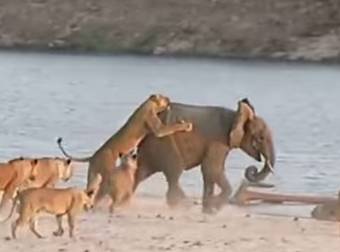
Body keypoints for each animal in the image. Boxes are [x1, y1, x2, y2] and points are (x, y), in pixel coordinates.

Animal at [57, 94, 193, 203]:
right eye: (164, 97)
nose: (169, 98)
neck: (147, 104)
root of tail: (93, 156)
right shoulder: (158, 128)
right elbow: (171, 127)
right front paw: (186, 125)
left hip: (93, 175)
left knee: (89, 189)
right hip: (107, 170)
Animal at [134, 98, 274, 213]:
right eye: (261, 138)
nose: (253, 169)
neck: (235, 114)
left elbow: (209, 172)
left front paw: (208, 210)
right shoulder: (218, 141)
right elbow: (212, 169)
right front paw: (214, 208)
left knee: (142, 173)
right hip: (164, 143)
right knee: (175, 172)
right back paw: (184, 206)